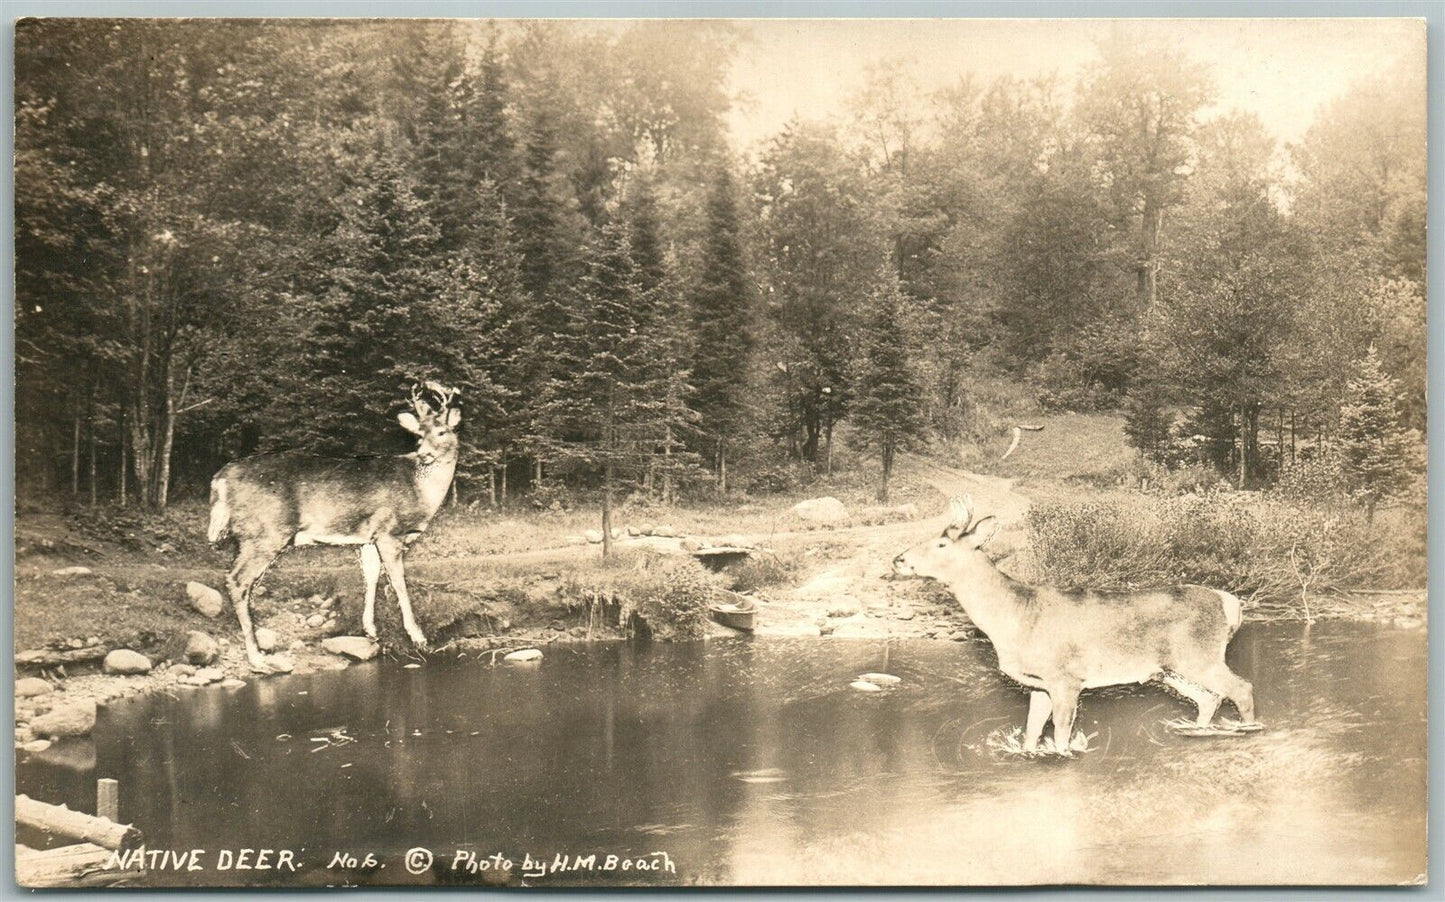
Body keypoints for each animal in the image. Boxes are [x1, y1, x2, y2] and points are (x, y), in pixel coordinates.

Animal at [205, 381, 456, 670]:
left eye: (442, 431)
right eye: (418, 435)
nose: (425, 454)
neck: (420, 488)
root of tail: (220, 479)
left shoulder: (368, 537)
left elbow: (371, 576)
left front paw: (371, 630)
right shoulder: (389, 532)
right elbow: (398, 581)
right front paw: (418, 637)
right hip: (264, 533)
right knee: (237, 580)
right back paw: (256, 656)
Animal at [890, 497, 1254, 751]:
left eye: (941, 544)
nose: (898, 560)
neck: (1015, 617)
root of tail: (1229, 603)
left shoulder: (1065, 677)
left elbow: (1062, 732)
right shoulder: (1038, 683)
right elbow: (1032, 730)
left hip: (1199, 655)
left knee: (1242, 688)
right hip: (1168, 669)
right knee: (1210, 698)